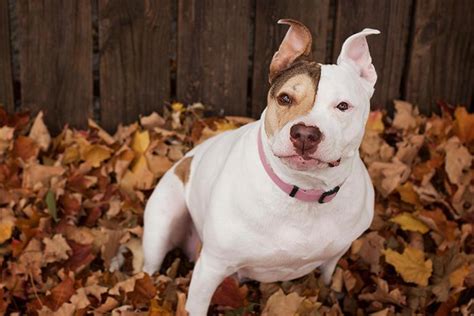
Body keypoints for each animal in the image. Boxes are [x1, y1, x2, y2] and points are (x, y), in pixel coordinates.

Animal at [143, 18, 380, 314]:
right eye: (285, 98)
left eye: (343, 106)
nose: (305, 133)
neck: (303, 190)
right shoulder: (211, 267)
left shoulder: (334, 256)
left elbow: (327, 279)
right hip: (160, 228)